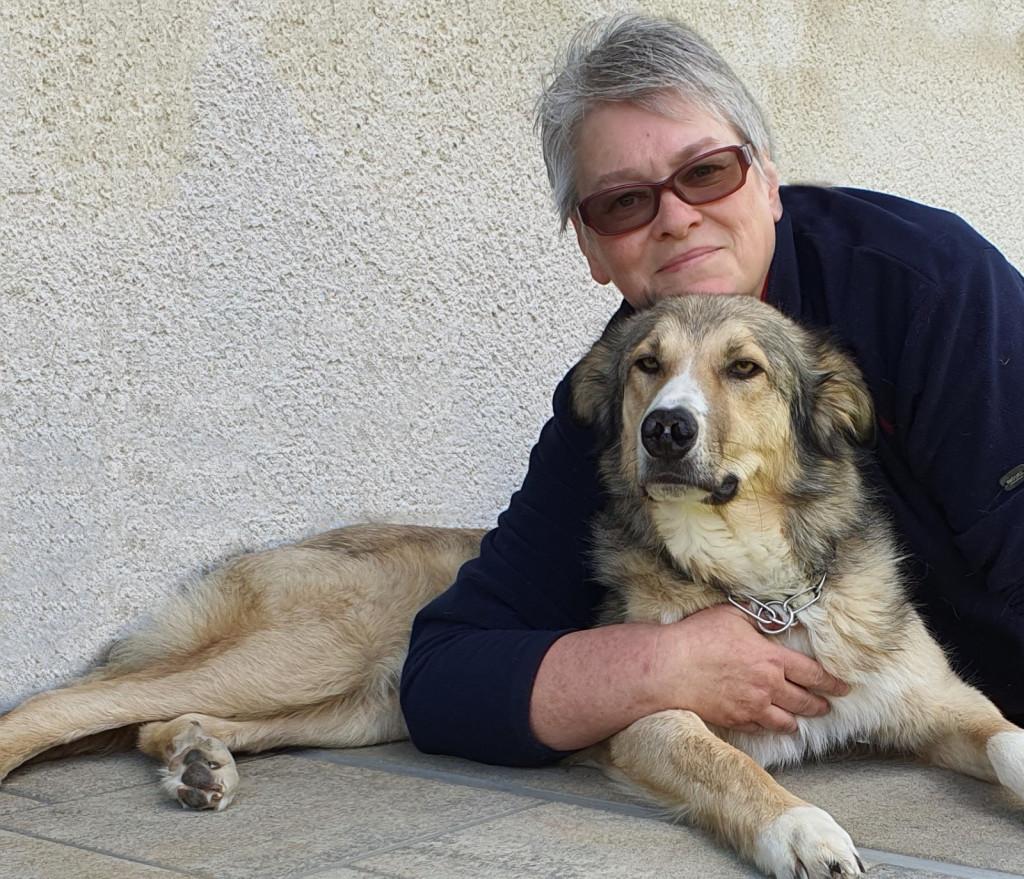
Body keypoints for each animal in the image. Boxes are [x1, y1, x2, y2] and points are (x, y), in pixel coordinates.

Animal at [0, 294, 1020, 878]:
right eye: (647, 365)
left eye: (744, 369)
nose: (664, 429)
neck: (758, 587)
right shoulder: (655, 716)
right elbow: (736, 768)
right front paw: (803, 830)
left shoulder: (941, 699)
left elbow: (1008, 735)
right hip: (300, 656)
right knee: (72, 701)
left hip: (358, 705)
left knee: (154, 720)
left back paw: (199, 762)